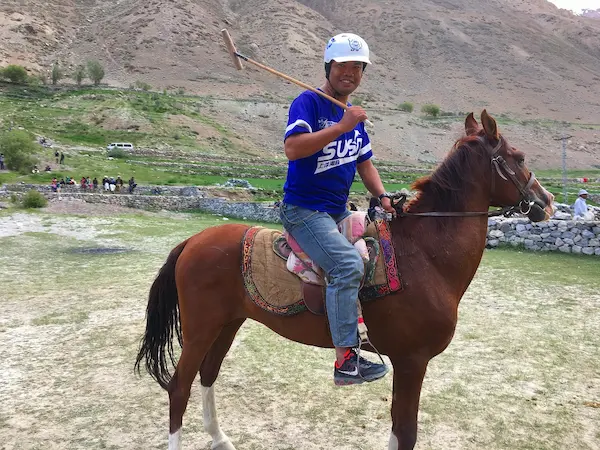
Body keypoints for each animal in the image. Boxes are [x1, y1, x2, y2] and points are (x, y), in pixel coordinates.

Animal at [135, 110, 552, 450]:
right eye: (519, 158)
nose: (545, 202)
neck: (426, 255)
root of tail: (192, 241)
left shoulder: (407, 363)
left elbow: (398, 429)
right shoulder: (412, 361)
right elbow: (406, 432)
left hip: (227, 324)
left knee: (208, 376)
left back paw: (220, 438)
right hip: (201, 329)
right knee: (179, 387)